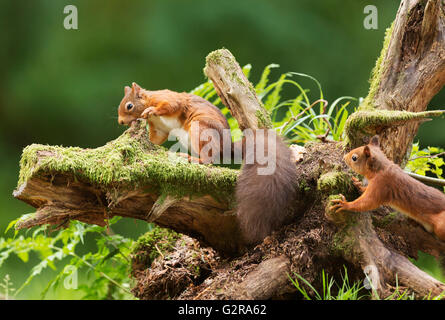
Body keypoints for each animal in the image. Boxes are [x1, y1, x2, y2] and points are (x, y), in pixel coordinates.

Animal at [117, 83, 294, 245]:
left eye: (129, 106)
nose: (120, 122)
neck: (149, 99)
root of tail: (226, 147)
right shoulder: (159, 129)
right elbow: (156, 139)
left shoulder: (167, 99)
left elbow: (171, 105)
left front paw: (151, 110)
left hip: (201, 129)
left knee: (209, 160)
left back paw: (192, 158)